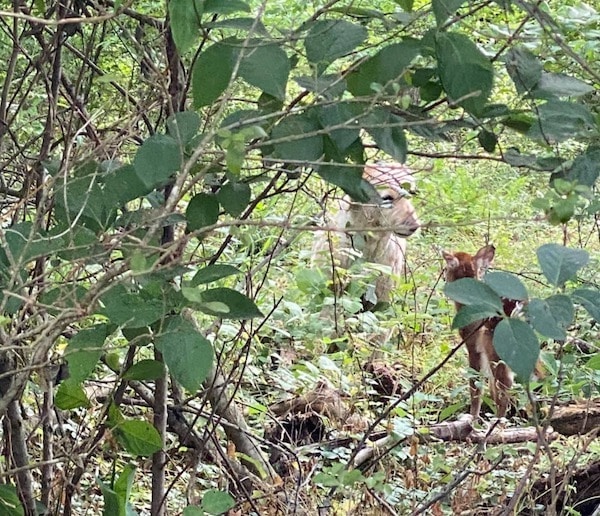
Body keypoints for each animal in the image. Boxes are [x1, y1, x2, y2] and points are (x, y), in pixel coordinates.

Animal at [440, 244, 516, 418]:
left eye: (447, 268)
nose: (443, 277)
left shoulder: (473, 345)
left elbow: (475, 385)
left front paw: (473, 418)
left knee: (505, 384)